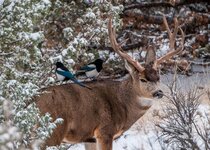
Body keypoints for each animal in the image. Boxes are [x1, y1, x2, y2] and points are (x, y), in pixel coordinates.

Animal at [35, 15, 185, 149]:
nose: (159, 93)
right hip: (53, 131)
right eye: (143, 79)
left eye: (158, 77)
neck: (123, 104)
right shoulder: (105, 130)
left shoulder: (90, 138)